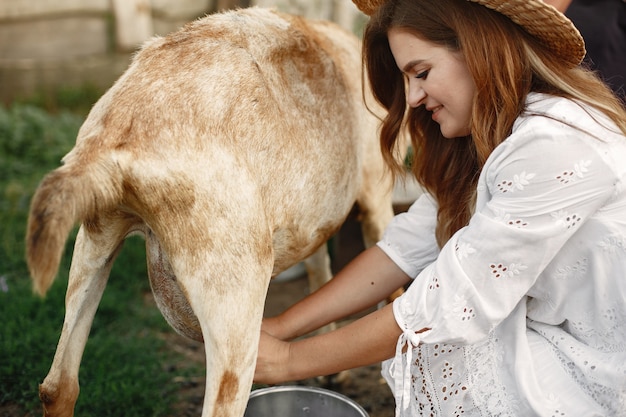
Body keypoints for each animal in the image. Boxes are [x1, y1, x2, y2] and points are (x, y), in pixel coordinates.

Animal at [28, 6, 394, 416]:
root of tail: (121, 136)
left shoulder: (310, 219)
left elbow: (320, 270)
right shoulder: (377, 195)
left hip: (94, 239)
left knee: (58, 385)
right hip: (233, 286)